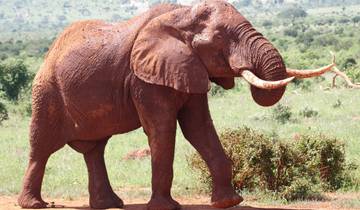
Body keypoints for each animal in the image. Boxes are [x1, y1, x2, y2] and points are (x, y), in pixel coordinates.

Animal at [18, 0, 336, 209]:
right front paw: (165, 207)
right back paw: (35, 205)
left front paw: (229, 202)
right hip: (46, 92)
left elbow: (199, 127)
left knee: (94, 150)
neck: (182, 14)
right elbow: (163, 129)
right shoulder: (144, 77)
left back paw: (109, 204)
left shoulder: (188, 67)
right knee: (41, 148)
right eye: (220, 39)